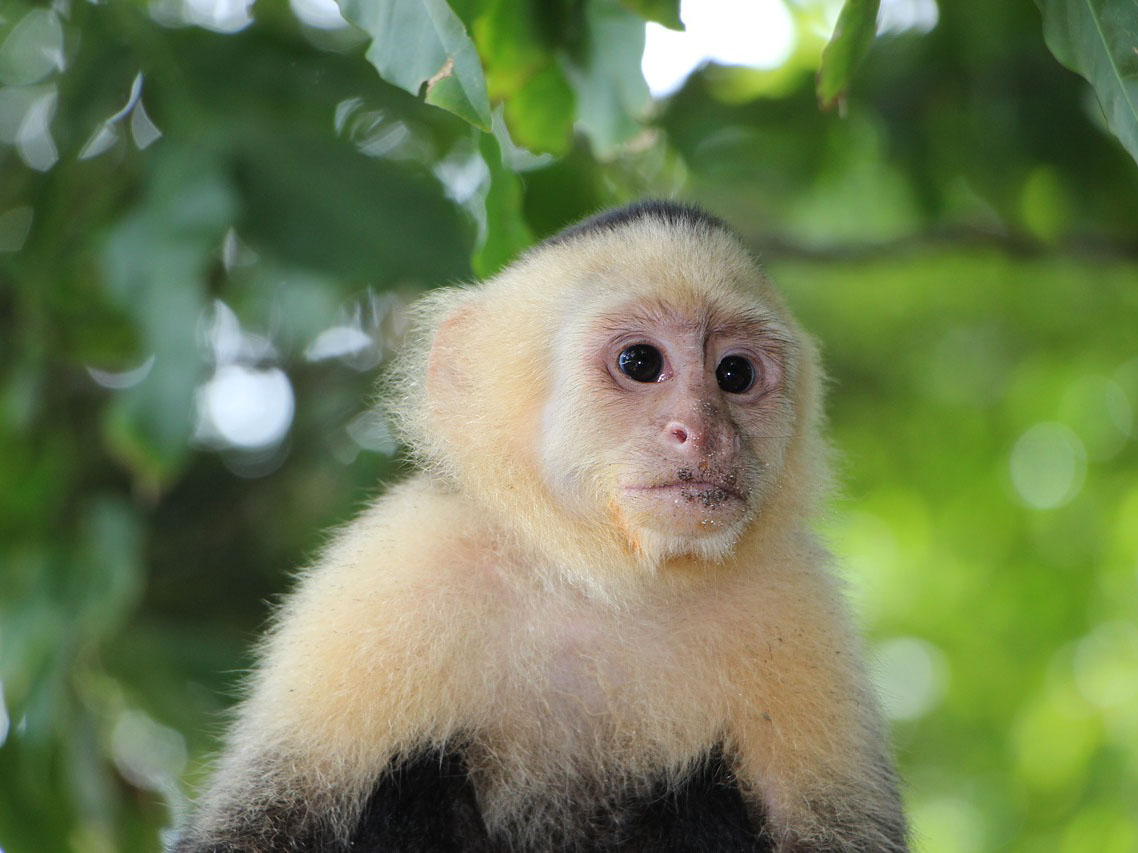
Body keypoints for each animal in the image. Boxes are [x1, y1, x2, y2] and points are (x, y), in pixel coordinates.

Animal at [172, 203, 910, 850]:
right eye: (641, 362)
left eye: (735, 373)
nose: (703, 431)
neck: (604, 583)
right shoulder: (395, 568)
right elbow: (258, 828)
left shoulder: (797, 604)